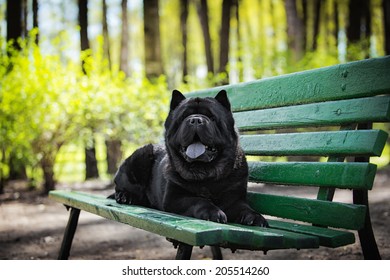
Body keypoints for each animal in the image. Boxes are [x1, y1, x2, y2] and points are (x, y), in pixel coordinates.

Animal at [111, 91, 266, 226]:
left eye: (212, 118)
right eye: (183, 117)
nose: (195, 119)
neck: (206, 174)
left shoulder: (235, 198)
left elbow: (244, 208)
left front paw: (255, 217)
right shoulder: (175, 198)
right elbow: (198, 201)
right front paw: (214, 212)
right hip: (139, 158)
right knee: (121, 186)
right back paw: (125, 196)